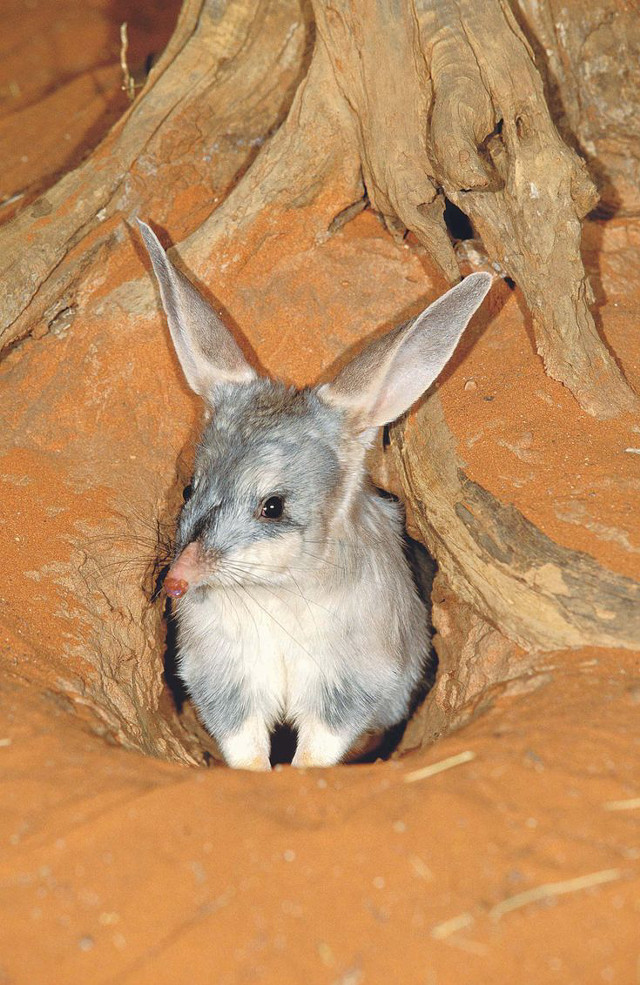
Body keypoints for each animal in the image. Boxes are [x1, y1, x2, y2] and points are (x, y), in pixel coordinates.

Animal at [138, 220, 491, 771]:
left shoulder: (353, 683)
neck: (273, 594)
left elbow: (319, 748)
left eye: (273, 506)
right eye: (190, 487)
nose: (176, 583)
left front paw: (297, 771)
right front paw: (257, 772)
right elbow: (244, 744)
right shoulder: (223, 676)